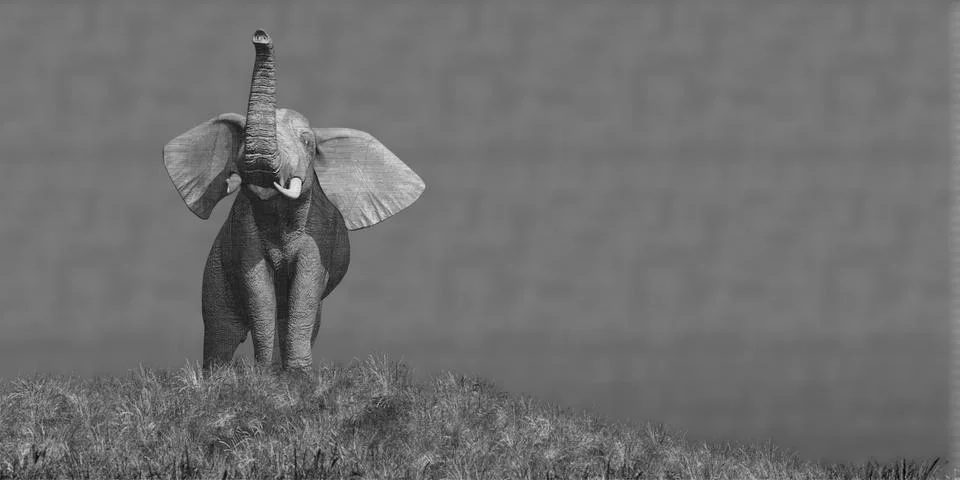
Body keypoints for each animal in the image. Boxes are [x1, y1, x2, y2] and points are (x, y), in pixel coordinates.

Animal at [162, 30, 424, 373]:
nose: (260, 35)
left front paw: (298, 376)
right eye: (242, 138)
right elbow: (258, 287)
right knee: (222, 329)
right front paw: (263, 374)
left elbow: (306, 287)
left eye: (307, 142)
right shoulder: (243, 229)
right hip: (216, 263)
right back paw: (219, 375)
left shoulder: (320, 232)